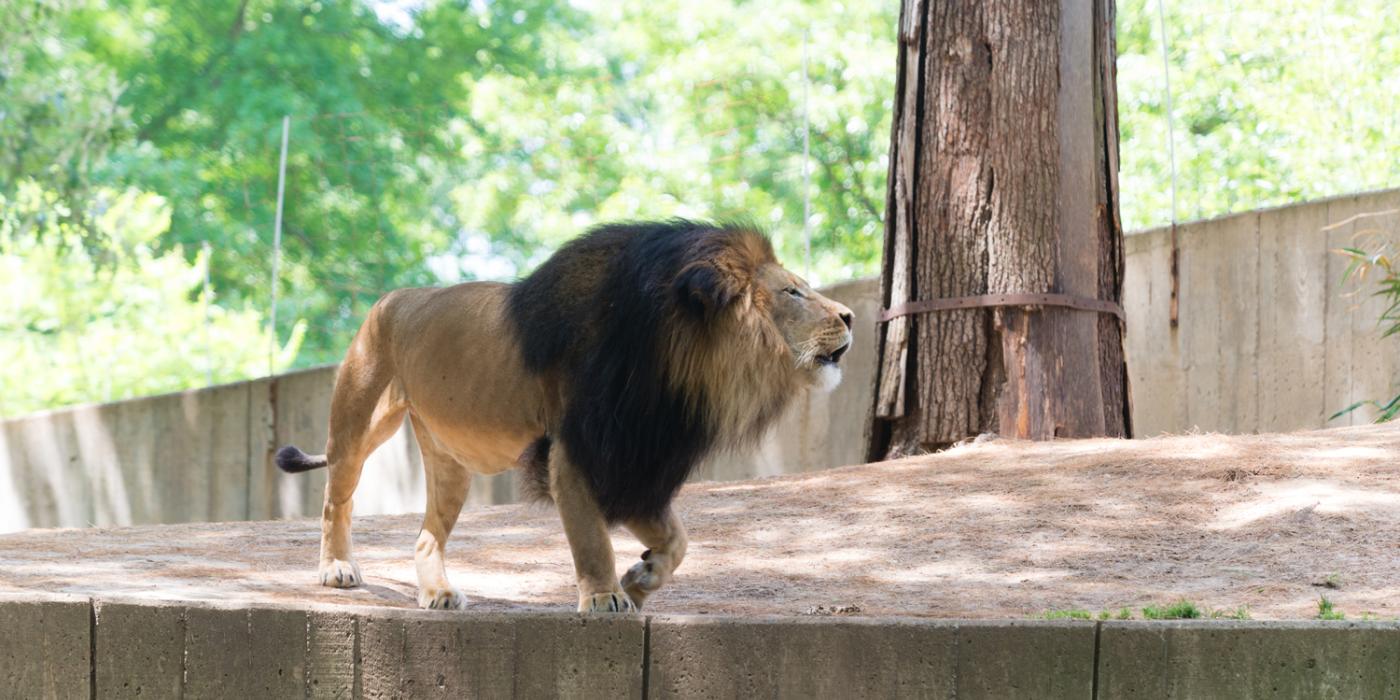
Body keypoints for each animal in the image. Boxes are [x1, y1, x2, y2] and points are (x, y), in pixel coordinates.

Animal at [267, 219, 845, 613]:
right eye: (793, 291)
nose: (850, 316)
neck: (676, 368)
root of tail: (391, 296)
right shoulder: (578, 451)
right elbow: (591, 538)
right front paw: (606, 596)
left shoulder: (634, 463)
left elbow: (678, 540)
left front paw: (641, 579)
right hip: (360, 421)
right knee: (335, 500)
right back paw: (336, 568)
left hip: (452, 464)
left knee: (426, 535)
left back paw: (439, 592)